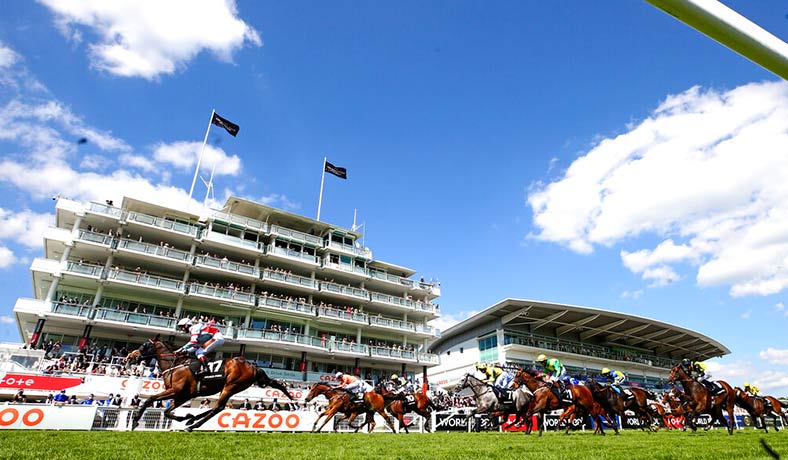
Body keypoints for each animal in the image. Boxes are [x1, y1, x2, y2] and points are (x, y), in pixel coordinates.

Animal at [127, 338, 294, 432]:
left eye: (143, 346)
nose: (130, 357)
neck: (175, 365)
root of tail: (253, 366)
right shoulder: (182, 395)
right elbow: (167, 411)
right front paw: (185, 416)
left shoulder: (177, 391)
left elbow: (149, 399)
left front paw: (135, 421)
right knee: (218, 407)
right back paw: (191, 420)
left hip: (230, 386)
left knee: (218, 408)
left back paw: (191, 426)